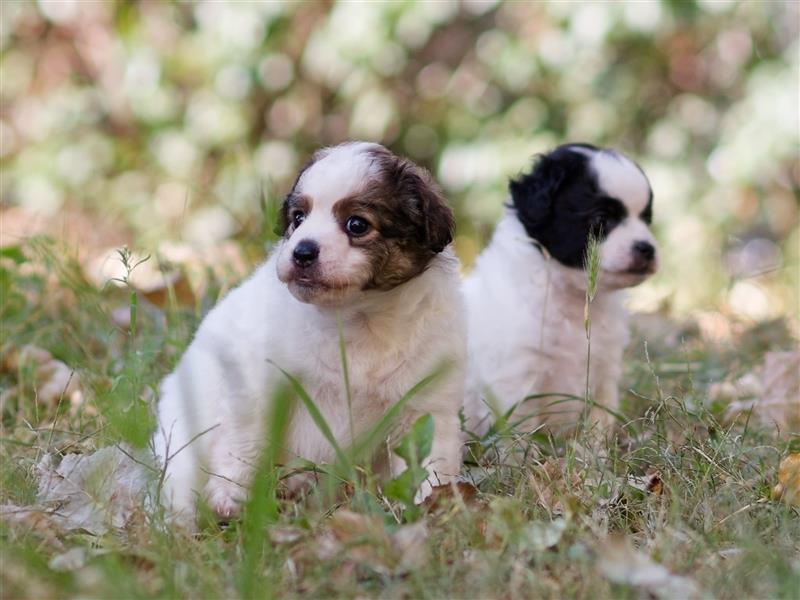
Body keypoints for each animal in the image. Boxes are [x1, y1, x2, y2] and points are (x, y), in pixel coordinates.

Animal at [153, 142, 466, 524]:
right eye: (298, 218)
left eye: (357, 224)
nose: (302, 252)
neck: (358, 317)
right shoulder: (256, 386)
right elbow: (245, 441)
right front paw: (232, 495)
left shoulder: (426, 402)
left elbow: (429, 460)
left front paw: (432, 508)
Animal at [462, 145, 656, 436]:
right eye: (601, 219)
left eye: (646, 218)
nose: (647, 248)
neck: (570, 294)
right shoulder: (516, 380)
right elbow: (520, 435)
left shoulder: (604, 370)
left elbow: (599, 422)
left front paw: (594, 450)